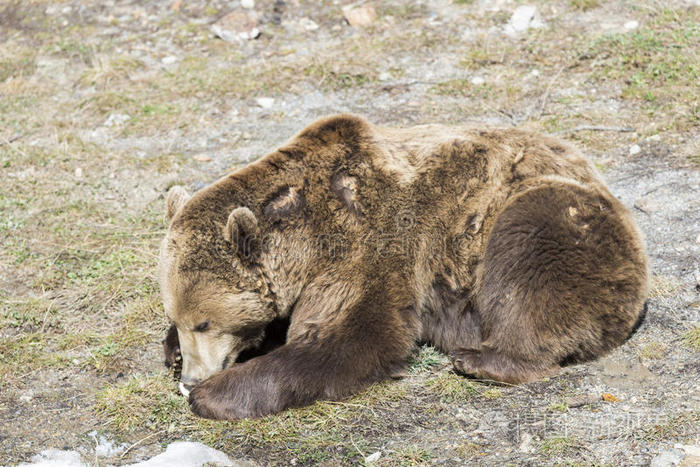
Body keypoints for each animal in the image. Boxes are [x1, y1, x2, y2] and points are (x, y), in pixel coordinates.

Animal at [157, 114, 644, 420]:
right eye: (178, 317)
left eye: (204, 322)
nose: (192, 380)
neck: (306, 239)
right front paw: (173, 352)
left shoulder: (374, 241)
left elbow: (353, 335)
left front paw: (214, 394)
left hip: (558, 220)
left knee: (529, 262)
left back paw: (481, 358)